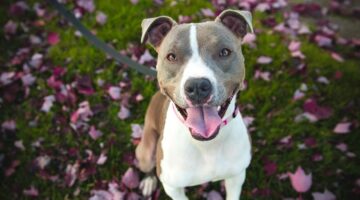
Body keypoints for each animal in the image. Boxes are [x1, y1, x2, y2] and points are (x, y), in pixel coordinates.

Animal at [135, 9, 253, 200]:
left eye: (224, 52)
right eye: (171, 56)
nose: (197, 86)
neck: (207, 144)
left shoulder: (236, 176)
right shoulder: (172, 187)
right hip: (145, 151)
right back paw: (148, 181)